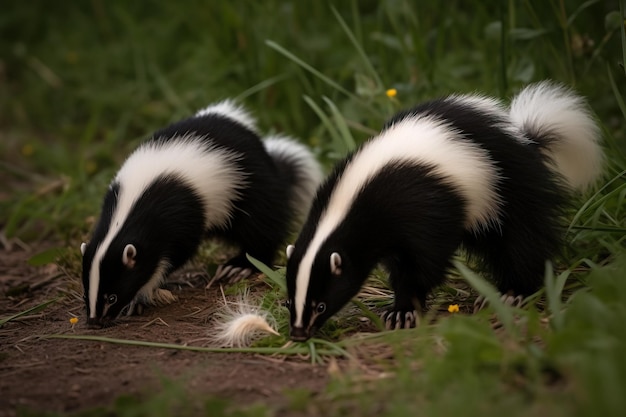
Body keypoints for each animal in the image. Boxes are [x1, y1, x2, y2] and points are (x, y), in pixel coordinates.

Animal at [80, 100, 322, 324]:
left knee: (261, 226)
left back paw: (240, 266)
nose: (95, 320)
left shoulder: (181, 213)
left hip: (250, 187)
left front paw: (142, 293)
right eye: (85, 291)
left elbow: (175, 253)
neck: (130, 207)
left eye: (112, 296)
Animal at [286, 82, 604, 342]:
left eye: (321, 304)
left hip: (507, 188)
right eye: (290, 301)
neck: (351, 200)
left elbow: (424, 261)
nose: (299, 333)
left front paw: (404, 310)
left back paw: (512, 293)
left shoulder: (421, 206)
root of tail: (523, 137)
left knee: (521, 240)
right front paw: (401, 308)